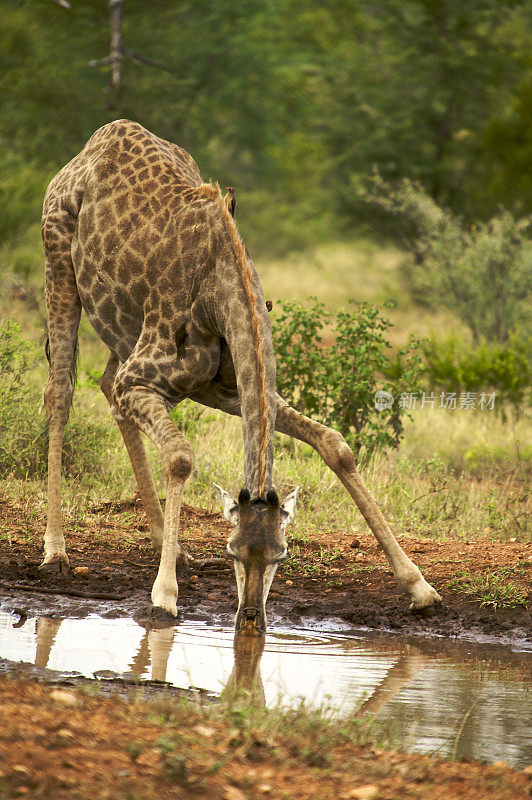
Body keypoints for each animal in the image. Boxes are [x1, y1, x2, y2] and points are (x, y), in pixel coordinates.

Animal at [40, 120, 440, 632]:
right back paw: (56, 552)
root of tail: (90, 147)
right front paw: (164, 597)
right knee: (61, 391)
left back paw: (168, 546)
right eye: (231, 552)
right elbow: (180, 458)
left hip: (122, 331)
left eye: (281, 556)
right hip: (58, 262)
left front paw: (420, 587)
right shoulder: (146, 379)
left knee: (107, 385)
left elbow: (335, 444)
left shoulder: (227, 390)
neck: (221, 293)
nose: (251, 616)